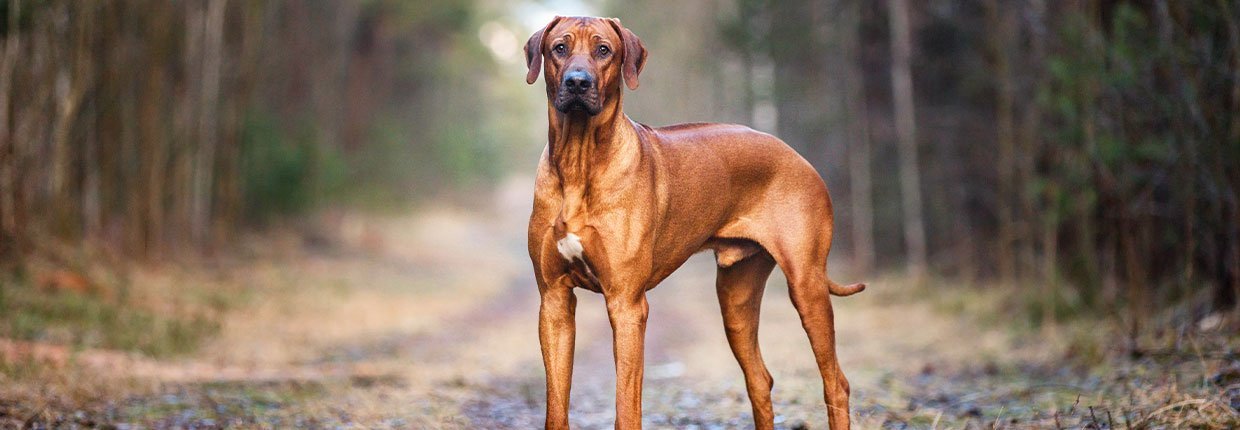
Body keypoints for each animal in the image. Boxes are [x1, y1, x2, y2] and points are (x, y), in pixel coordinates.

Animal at [523, 16, 863, 430]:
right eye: (560, 48)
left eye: (604, 50)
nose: (577, 82)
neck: (579, 159)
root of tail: (797, 155)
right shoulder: (554, 301)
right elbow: (555, 406)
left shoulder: (627, 304)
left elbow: (626, 407)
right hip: (735, 298)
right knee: (760, 379)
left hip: (806, 284)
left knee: (836, 382)